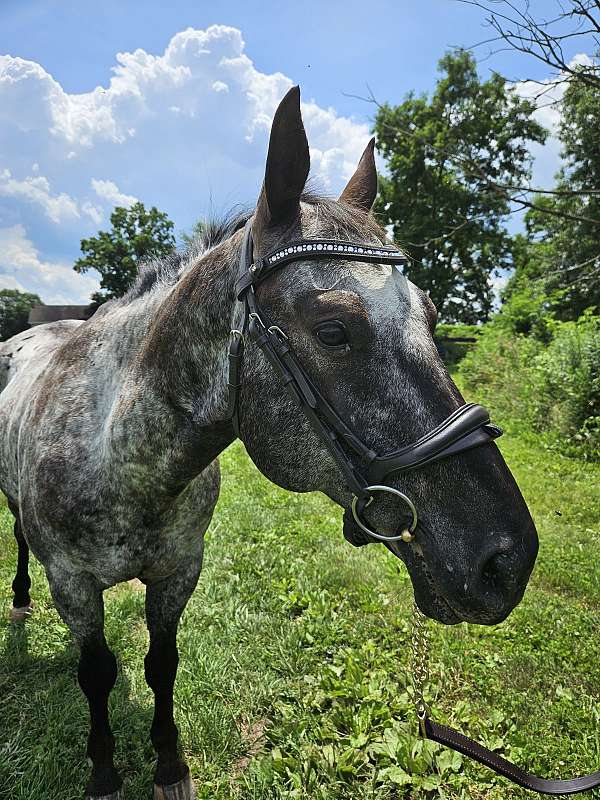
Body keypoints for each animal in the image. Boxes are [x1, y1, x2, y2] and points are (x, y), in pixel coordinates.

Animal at [0, 86, 538, 800]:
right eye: (334, 330)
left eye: (430, 318)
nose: (510, 561)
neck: (123, 458)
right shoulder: (74, 584)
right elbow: (97, 673)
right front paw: (106, 771)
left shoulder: (178, 572)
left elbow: (161, 664)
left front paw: (168, 764)